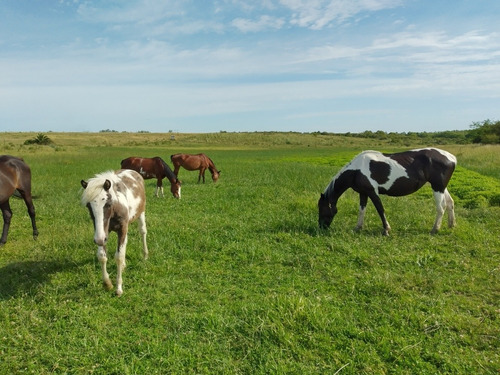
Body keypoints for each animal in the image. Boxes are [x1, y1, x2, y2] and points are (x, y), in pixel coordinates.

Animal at [320, 149, 458, 235]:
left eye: (322, 209)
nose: (321, 228)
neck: (357, 170)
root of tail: (452, 158)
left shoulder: (372, 192)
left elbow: (380, 210)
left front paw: (386, 230)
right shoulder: (363, 193)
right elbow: (361, 210)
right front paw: (358, 228)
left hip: (437, 187)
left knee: (441, 207)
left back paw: (435, 229)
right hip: (441, 187)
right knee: (450, 203)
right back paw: (451, 225)